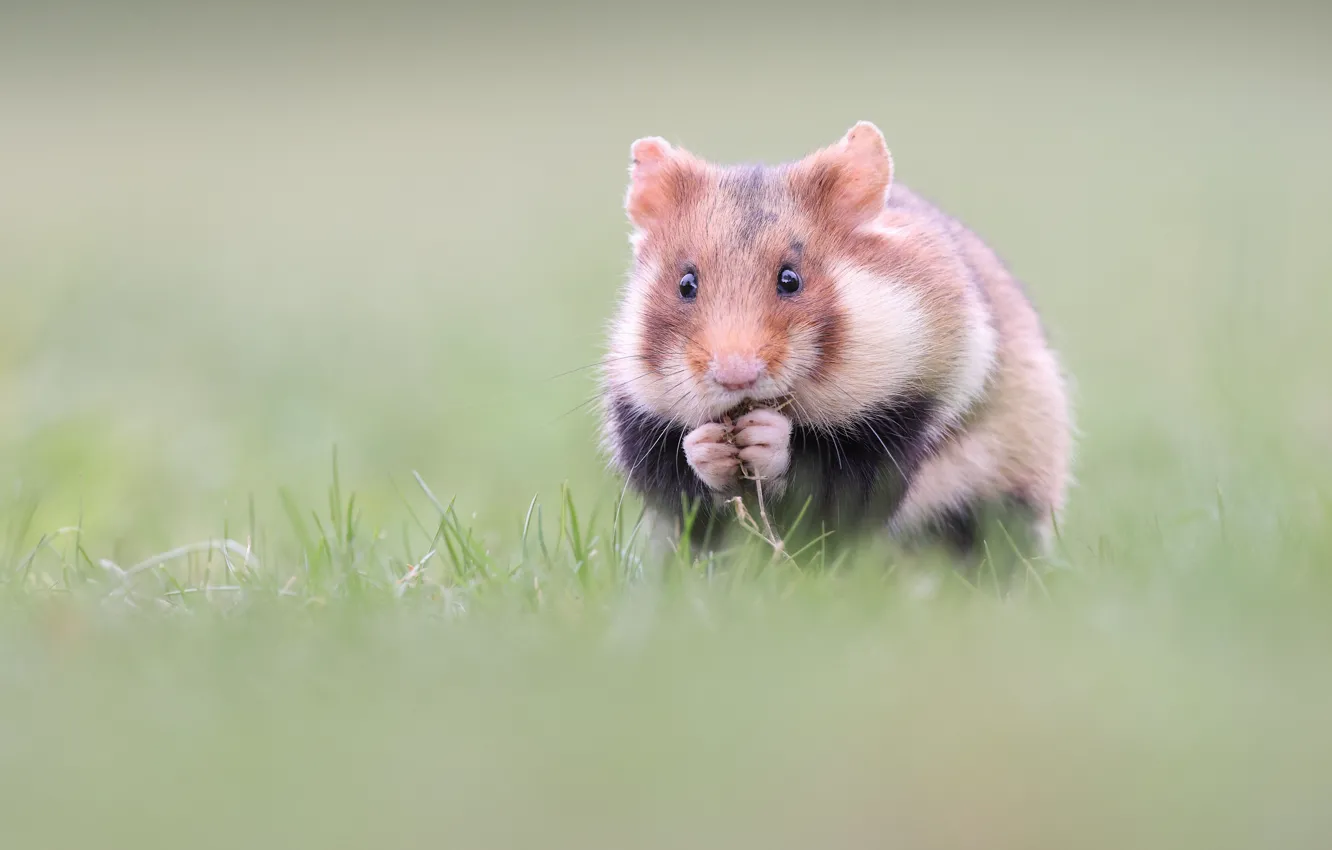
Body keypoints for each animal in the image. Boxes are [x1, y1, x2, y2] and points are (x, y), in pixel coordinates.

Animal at [599, 121, 1072, 564]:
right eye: (686, 284)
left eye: (790, 279)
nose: (736, 377)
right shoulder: (641, 425)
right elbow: (683, 490)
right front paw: (707, 446)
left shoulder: (904, 415)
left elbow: (836, 482)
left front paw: (766, 435)